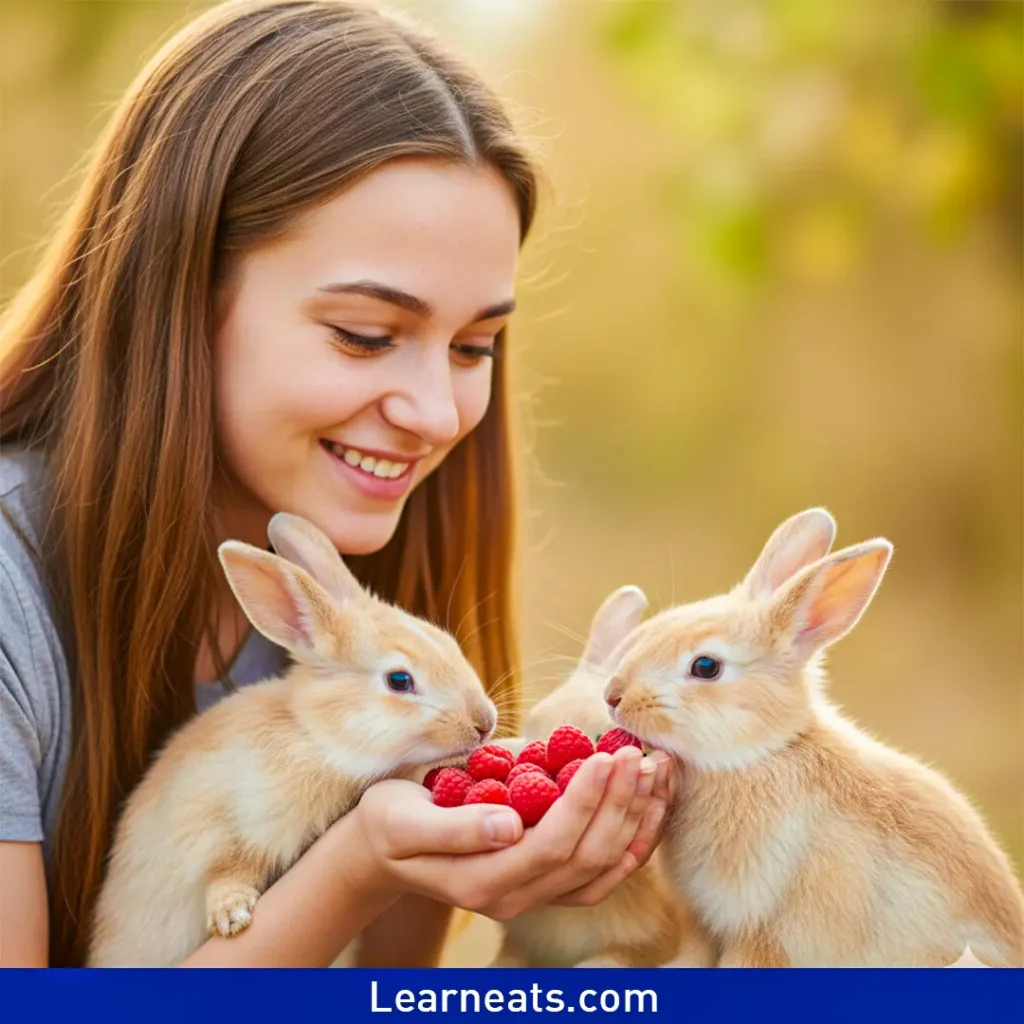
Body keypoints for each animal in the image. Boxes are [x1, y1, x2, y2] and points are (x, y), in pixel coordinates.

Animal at [88, 512, 498, 967]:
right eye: (399, 680)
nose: (485, 723)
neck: (313, 737)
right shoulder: (223, 825)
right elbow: (228, 870)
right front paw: (231, 916)